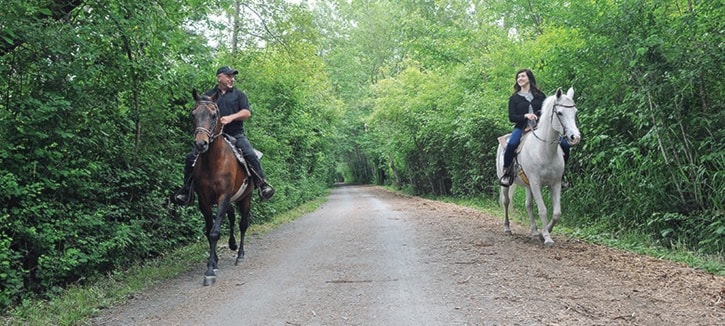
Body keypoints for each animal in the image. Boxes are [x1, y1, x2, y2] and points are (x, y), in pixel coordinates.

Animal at [191, 89, 253, 286]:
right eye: (193, 114)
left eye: (213, 115)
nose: (201, 144)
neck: (213, 162)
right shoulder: (204, 200)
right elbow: (209, 230)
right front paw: (213, 261)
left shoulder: (224, 196)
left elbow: (214, 232)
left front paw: (210, 271)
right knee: (232, 218)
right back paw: (232, 244)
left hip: (245, 197)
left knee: (243, 224)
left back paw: (240, 254)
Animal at [494, 88, 580, 246]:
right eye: (560, 113)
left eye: (575, 112)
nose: (575, 137)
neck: (544, 151)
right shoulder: (535, 182)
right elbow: (543, 210)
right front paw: (546, 237)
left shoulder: (555, 184)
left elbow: (557, 212)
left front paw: (543, 232)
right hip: (506, 184)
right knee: (506, 202)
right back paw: (507, 228)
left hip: (528, 186)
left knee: (528, 205)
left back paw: (534, 231)